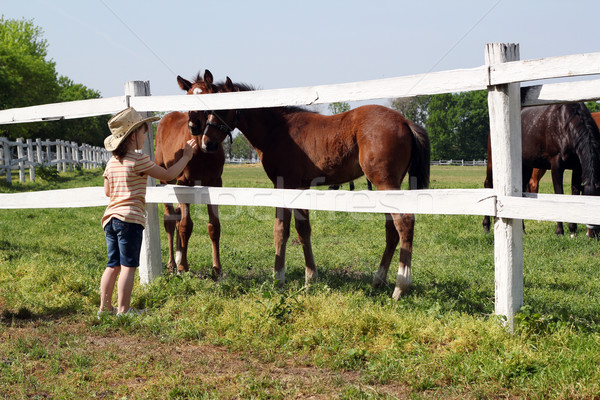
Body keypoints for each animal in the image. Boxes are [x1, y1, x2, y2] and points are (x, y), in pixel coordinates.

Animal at [155, 72, 225, 276]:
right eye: (186, 99)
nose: (194, 126)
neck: (202, 151)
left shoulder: (215, 183)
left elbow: (214, 226)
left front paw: (217, 268)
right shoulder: (184, 183)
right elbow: (186, 225)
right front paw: (183, 266)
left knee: (177, 216)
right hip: (166, 179)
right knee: (171, 220)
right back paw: (172, 263)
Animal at [188, 72, 432, 298]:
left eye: (223, 108)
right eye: (207, 110)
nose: (207, 143)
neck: (276, 130)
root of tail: (405, 122)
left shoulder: (284, 185)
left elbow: (281, 230)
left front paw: (278, 279)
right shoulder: (300, 187)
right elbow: (303, 230)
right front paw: (310, 279)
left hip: (385, 183)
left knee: (404, 223)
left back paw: (400, 287)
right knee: (392, 230)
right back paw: (378, 280)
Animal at [482, 102, 600, 238]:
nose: (593, 234)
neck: (566, 123)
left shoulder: (578, 167)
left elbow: (574, 192)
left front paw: (572, 231)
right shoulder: (556, 164)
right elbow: (559, 194)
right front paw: (560, 231)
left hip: (526, 166)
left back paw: (522, 229)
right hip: (493, 160)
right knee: (488, 184)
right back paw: (486, 226)